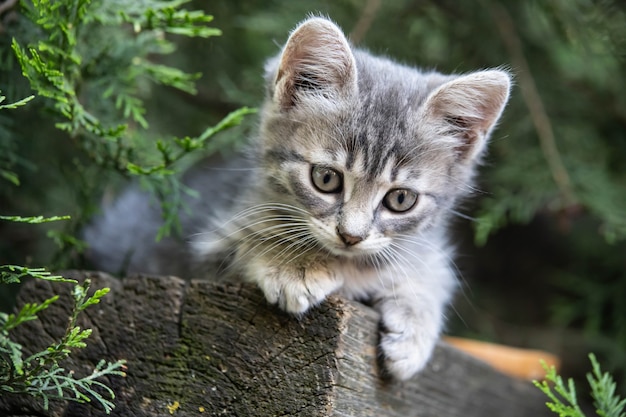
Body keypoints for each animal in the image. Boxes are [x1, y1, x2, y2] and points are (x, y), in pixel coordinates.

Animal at [85, 17, 510, 380]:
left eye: (401, 199)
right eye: (326, 178)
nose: (351, 236)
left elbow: (427, 272)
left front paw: (414, 328)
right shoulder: (201, 248)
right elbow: (248, 241)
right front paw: (296, 265)